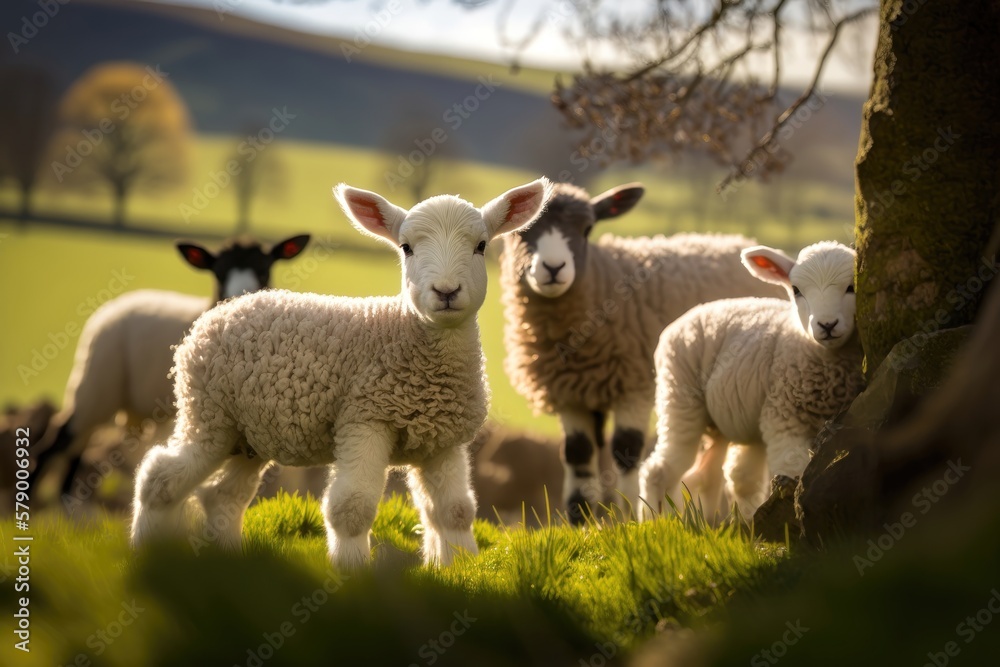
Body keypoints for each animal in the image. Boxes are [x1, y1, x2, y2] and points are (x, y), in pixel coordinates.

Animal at [28, 235, 310, 503]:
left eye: (264, 271)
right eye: (218, 274)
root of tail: (112, 307)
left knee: (78, 445)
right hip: (96, 384)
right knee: (59, 441)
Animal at [129, 178, 552, 570]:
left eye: (481, 246)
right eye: (406, 247)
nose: (446, 291)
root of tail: (221, 311)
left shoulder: (443, 441)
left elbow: (455, 511)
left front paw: (457, 567)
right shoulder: (363, 419)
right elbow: (352, 507)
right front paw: (353, 573)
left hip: (248, 435)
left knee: (223, 495)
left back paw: (229, 557)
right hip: (208, 414)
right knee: (160, 477)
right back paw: (145, 548)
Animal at [499, 181, 783, 523]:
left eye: (587, 228)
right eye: (521, 231)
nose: (554, 268)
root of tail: (736, 240)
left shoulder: (634, 385)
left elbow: (626, 450)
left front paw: (630, 517)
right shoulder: (568, 392)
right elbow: (577, 453)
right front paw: (581, 521)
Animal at [638, 241, 865, 521]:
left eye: (852, 287)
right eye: (796, 290)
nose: (827, 325)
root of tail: (690, 314)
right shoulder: (785, 418)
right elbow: (793, 470)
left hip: (731, 419)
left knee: (722, 475)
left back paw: (719, 522)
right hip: (679, 397)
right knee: (661, 469)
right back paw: (656, 520)